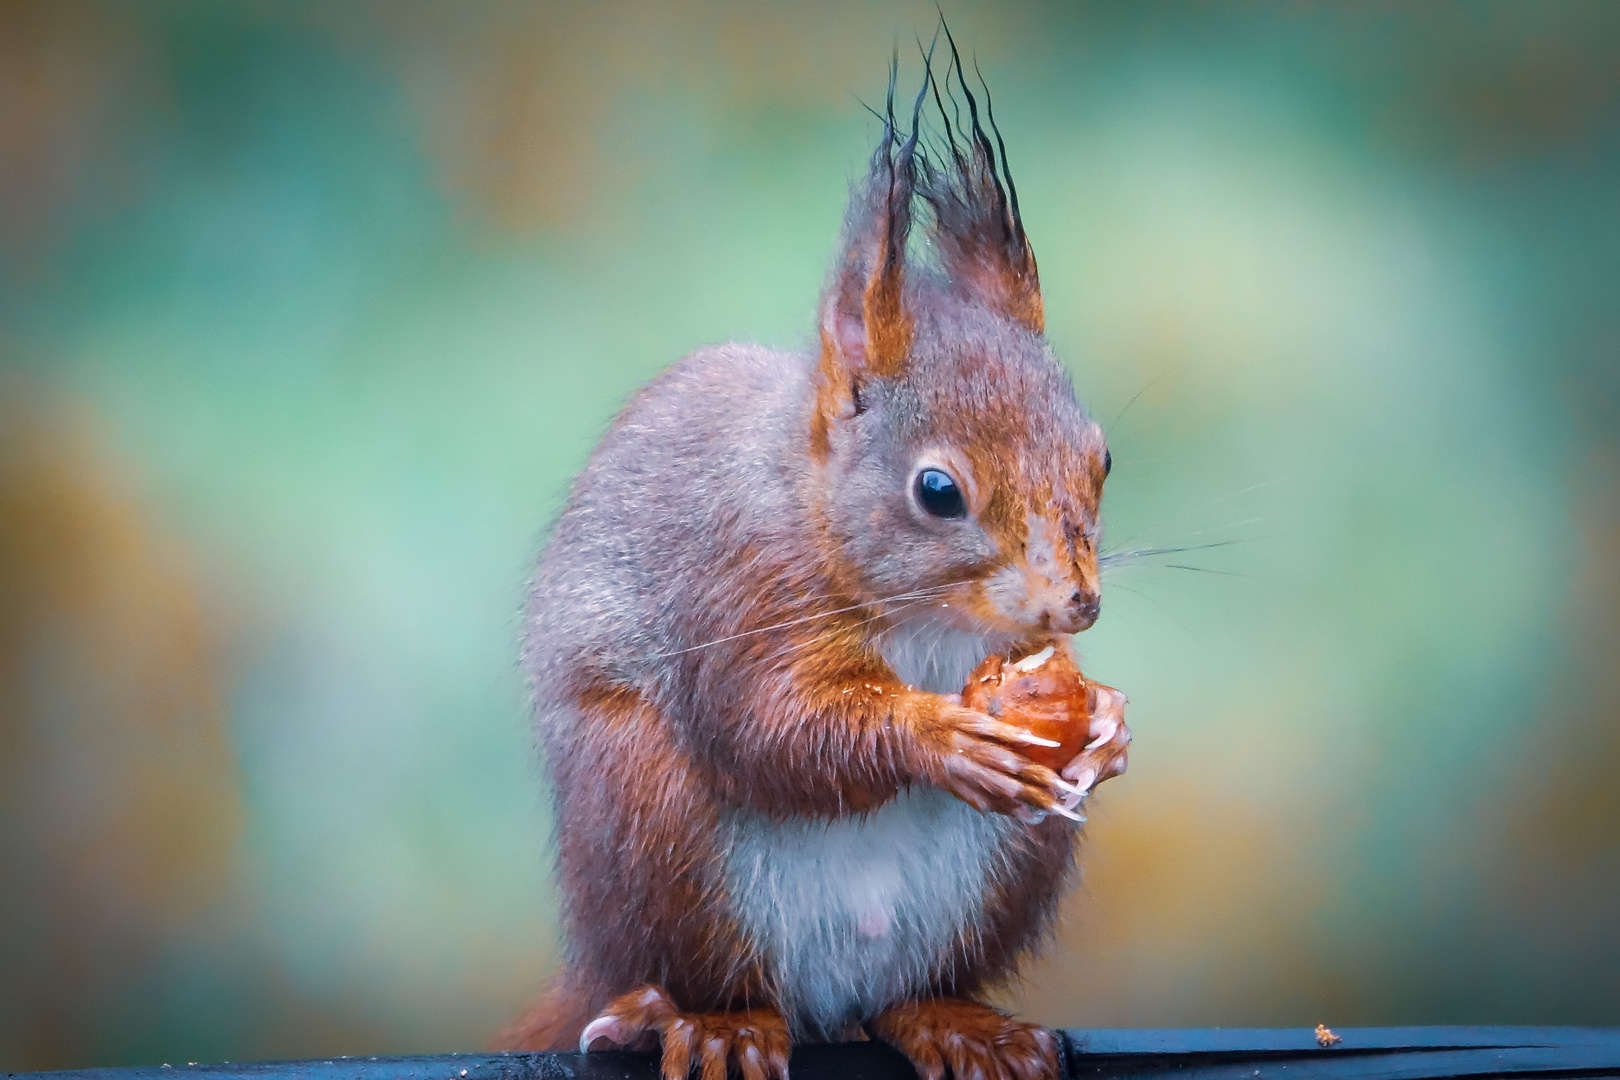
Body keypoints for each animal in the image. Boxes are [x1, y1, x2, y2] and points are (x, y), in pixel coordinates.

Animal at [498, 33, 1134, 1080]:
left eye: (1103, 457)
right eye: (937, 491)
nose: (1075, 606)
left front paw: (1110, 725)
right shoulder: (741, 587)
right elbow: (770, 724)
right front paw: (938, 736)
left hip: (1002, 881)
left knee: (905, 995)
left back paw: (954, 1022)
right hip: (652, 823)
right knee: (708, 974)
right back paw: (702, 1021)